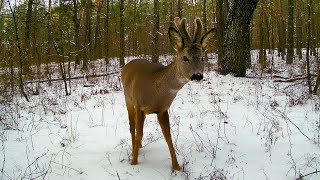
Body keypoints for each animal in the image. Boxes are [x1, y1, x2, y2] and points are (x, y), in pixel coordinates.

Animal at [121, 17, 216, 171]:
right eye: (185, 58)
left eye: (202, 57)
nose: (198, 76)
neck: (156, 92)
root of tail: (127, 65)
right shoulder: (140, 105)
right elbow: (139, 133)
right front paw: (133, 163)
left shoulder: (163, 110)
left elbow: (168, 136)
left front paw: (176, 166)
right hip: (128, 99)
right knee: (131, 125)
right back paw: (134, 148)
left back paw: (138, 147)